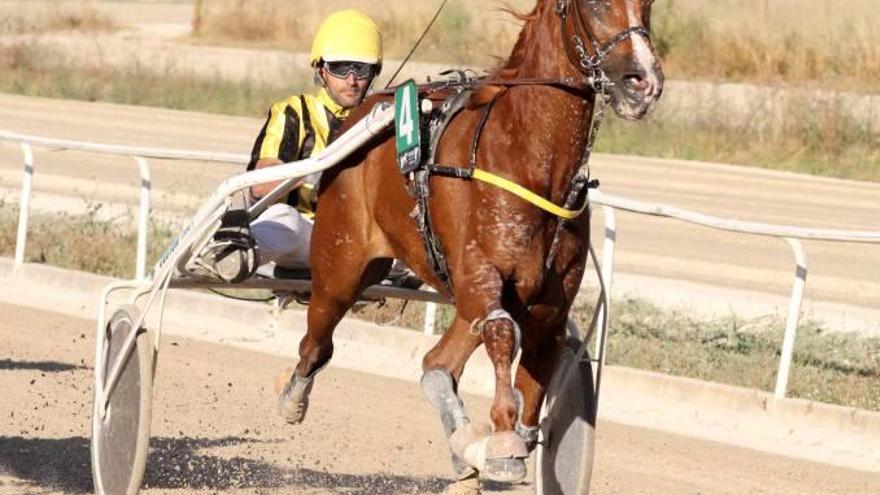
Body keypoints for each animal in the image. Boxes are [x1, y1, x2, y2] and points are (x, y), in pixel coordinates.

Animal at [276, 0, 660, 484]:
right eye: (594, 4)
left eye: (648, 6)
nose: (644, 80)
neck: (529, 159)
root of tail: (356, 118)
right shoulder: (479, 275)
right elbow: (501, 332)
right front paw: (501, 438)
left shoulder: (548, 307)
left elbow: (536, 375)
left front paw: (505, 443)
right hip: (340, 265)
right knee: (316, 343)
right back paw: (292, 397)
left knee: (435, 364)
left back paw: (462, 449)